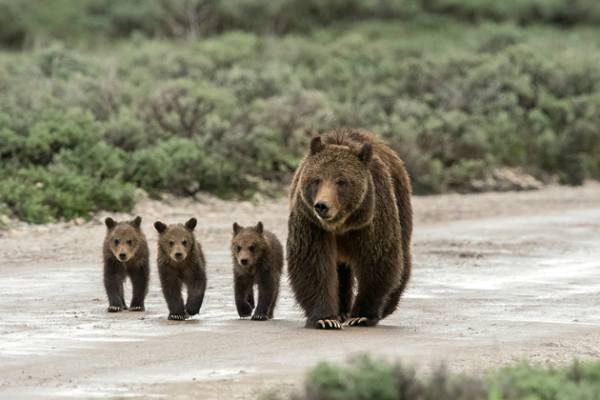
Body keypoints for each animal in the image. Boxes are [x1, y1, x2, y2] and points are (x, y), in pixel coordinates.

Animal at [288, 130, 412, 330]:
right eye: (317, 179)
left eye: (341, 181)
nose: (322, 206)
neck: (341, 224)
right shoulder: (311, 222)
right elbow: (313, 264)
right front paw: (326, 319)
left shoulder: (371, 219)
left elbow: (377, 260)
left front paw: (361, 316)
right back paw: (341, 311)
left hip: (400, 203)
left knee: (403, 256)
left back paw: (387, 306)